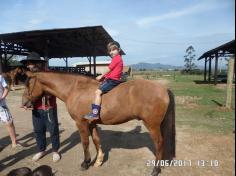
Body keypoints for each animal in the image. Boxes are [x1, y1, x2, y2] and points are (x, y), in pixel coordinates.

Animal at [22, 71, 175, 175]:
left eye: (28, 84)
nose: (24, 103)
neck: (75, 89)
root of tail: (163, 89)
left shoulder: (81, 123)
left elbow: (85, 143)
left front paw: (85, 163)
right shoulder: (91, 123)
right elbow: (96, 140)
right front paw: (98, 160)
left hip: (152, 125)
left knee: (159, 143)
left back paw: (155, 169)